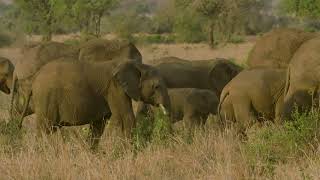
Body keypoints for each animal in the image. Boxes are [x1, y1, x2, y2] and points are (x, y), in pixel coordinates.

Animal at [27, 59, 170, 148]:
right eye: (156, 87)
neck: (138, 66)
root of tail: (35, 76)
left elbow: (98, 125)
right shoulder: (115, 88)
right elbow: (126, 117)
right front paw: (132, 151)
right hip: (46, 99)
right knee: (44, 129)